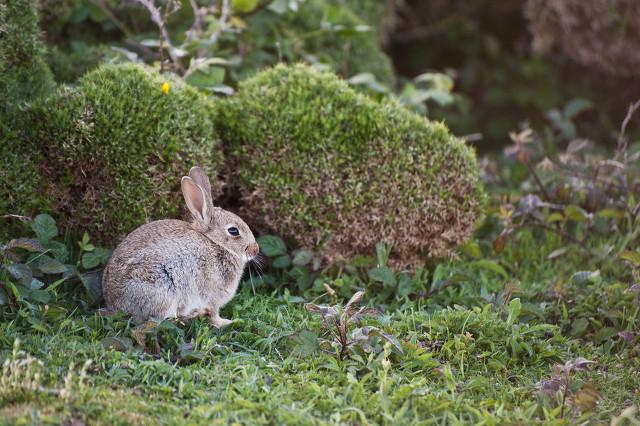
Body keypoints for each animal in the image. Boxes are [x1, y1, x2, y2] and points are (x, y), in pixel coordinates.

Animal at [101, 166, 258, 326]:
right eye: (233, 231)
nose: (255, 250)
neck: (216, 243)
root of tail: (114, 304)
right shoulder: (213, 294)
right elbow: (214, 314)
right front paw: (227, 322)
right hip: (163, 290)